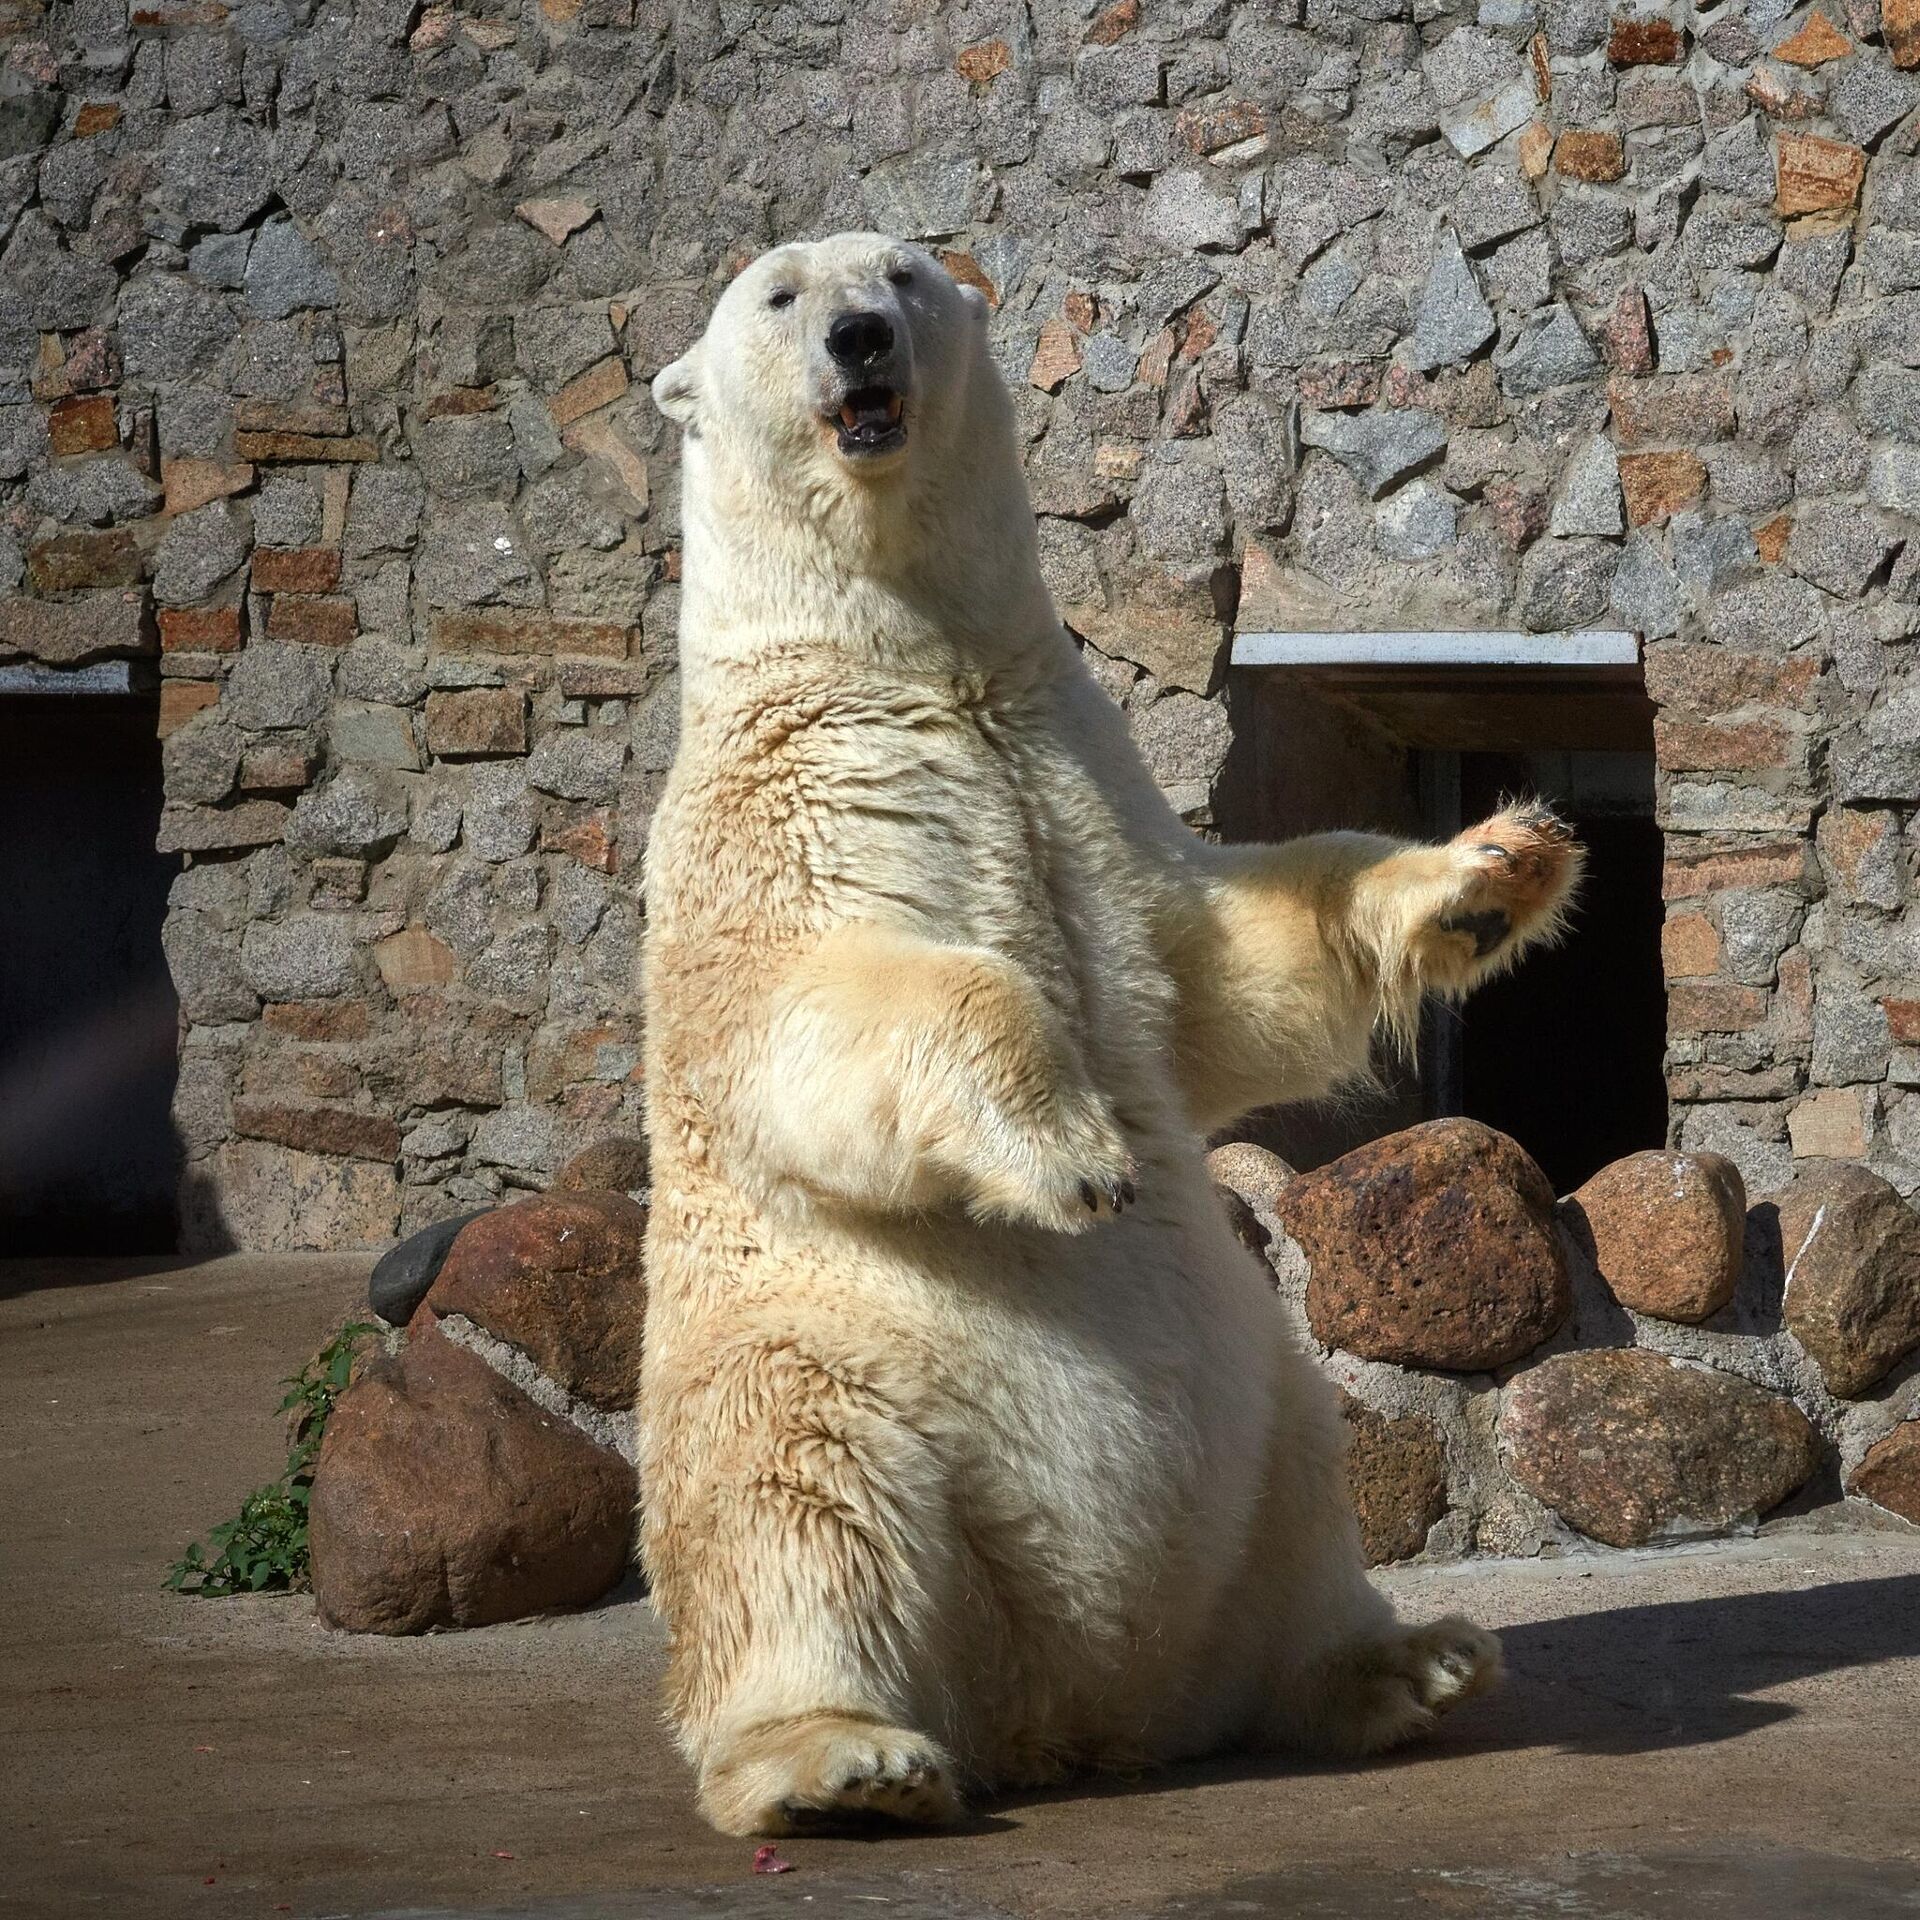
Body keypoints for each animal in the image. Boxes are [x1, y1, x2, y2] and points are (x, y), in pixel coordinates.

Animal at [641, 232, 1574, 1835]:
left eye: (904, 270)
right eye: (778, 294)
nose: (860, 337)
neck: (920, 675)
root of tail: (1069, 1718)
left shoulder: (1079, 771)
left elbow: (1216, 976)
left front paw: (1490, 872)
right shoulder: (774, 829)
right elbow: (821, 1018)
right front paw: (1075, 1156)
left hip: (1257, 1405)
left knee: (1307, 1481)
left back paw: (1402, 1663)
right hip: (827, 1365)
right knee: (790, 1489)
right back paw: (843, 1760)